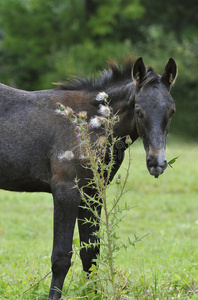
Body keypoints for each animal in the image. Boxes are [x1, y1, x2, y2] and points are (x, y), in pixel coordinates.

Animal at [0, 57, 176, 298]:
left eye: (172, 111)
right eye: (138, 110)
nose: (157, 163)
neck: (88, 125)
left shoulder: (92, 193)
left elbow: (90, 252)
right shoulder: (65, 191)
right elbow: (61, 257)